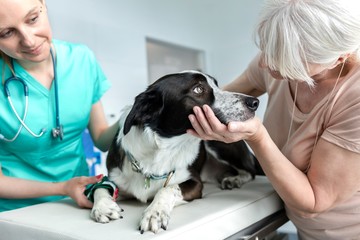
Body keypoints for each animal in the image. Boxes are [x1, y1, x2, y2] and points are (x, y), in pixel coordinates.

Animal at [90, 70, 262, 233]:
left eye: (216, 85)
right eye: (198, 89)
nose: (255, 102)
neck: (161, 151)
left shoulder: (195, 183)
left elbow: (168, 188)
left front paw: (154, 212)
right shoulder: (116, 179)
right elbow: (99, 186)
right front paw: (103, 206)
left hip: (218, 143)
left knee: (251, 171)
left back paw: (235, 179)